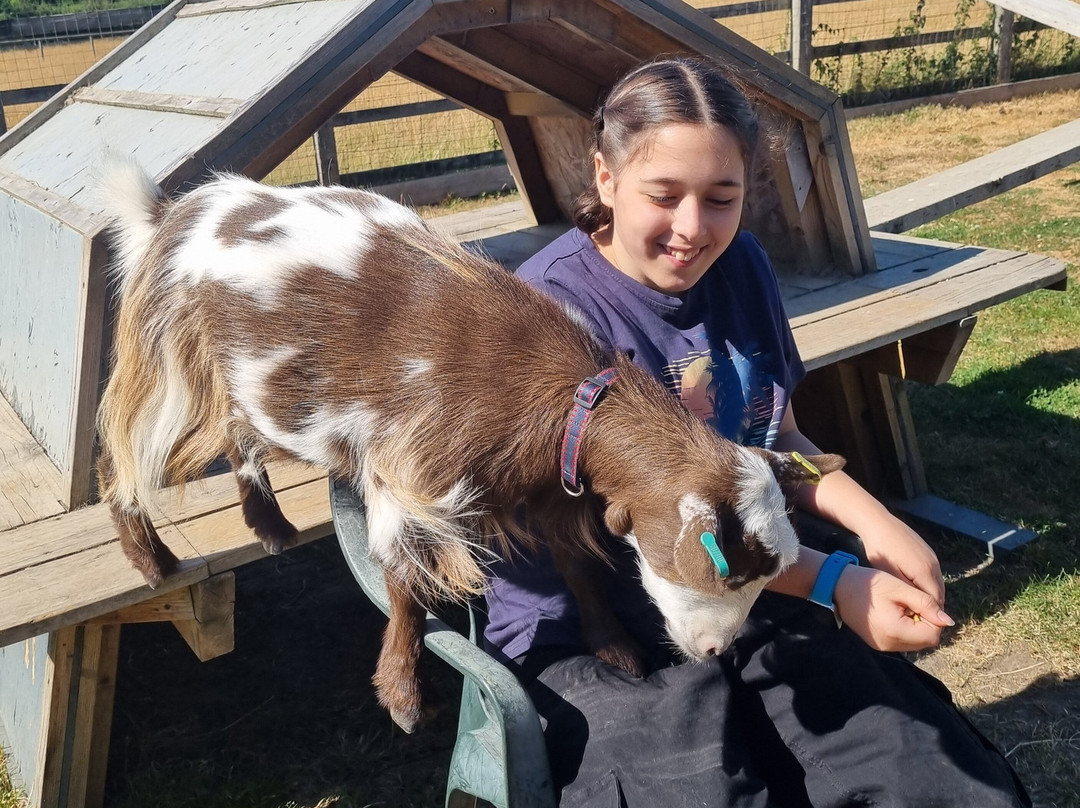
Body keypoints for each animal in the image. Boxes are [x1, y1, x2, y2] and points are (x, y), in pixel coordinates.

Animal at [96, 163, 844, 732]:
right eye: (721, 568)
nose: (715, 646)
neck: (562, 398)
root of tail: (178, 209)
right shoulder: (411, 478)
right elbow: (404, 586)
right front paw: (403, 695)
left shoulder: (553, 489)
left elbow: (578, 569)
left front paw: (616, 649)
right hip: (167, 358)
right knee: (122, 448)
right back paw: (150, 558)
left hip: (241, 377)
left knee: (239, 430)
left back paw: (270, 525)